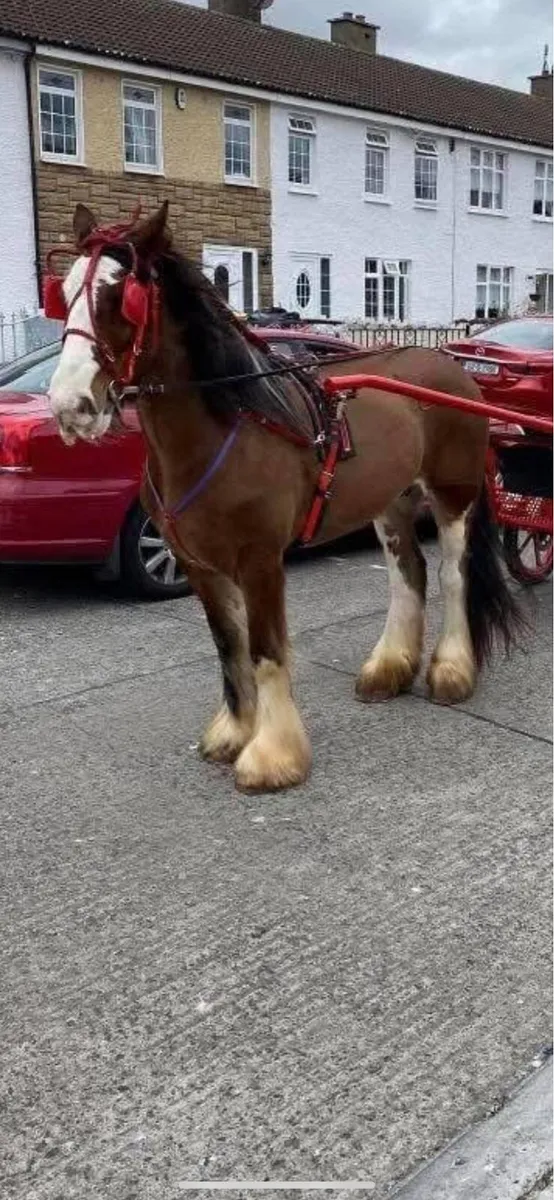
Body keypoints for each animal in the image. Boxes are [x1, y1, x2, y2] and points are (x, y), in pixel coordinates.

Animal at [47, 202, 521, 794]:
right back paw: (388, 667)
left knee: (453, 574)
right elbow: (229, 647)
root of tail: (449, 365)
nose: (70, 405)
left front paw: (272, 756)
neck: (224, 431)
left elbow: (265, 651)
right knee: (406, 573)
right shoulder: (199, 564)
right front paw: (234, 732)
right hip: (390, 501)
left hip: (453, 494)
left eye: (120, 297)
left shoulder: (260, 562)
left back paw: (452, 670)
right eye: (63, 293)